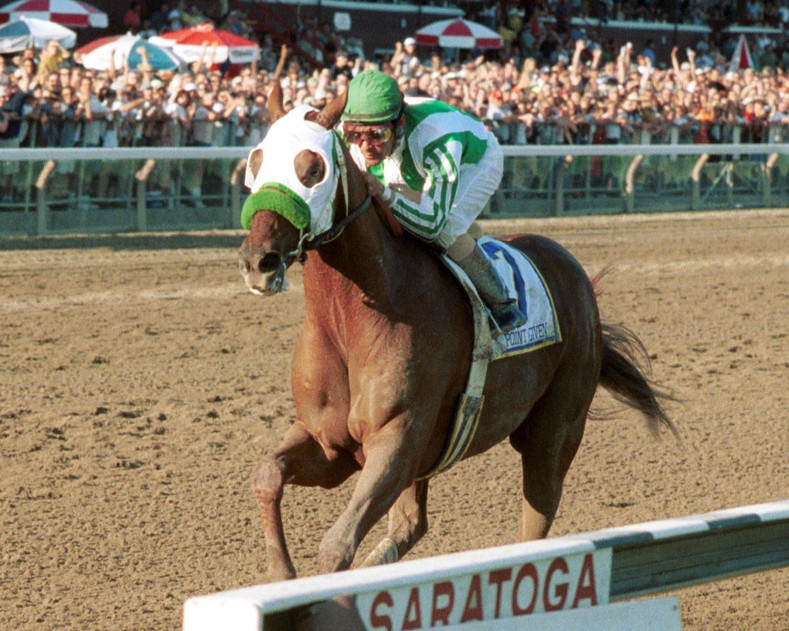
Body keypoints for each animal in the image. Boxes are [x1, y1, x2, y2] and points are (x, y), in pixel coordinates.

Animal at [237, 85, 676, 584]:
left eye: (312, 169)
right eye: (256, 162)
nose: (259, 261)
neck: (351, 320)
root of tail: (580, 279)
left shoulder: (397, 439)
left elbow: (336, 546)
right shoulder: (330, 444)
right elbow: (266, 474)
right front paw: (281, 574)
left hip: (555, 429)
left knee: (538, 511)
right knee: (411, 525)